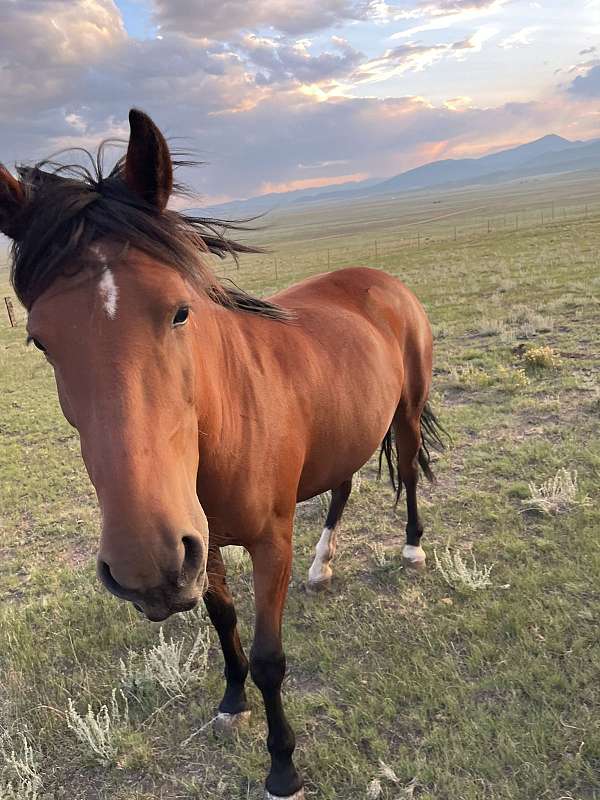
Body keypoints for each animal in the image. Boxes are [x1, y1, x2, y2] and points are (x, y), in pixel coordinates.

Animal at [0, 109, 444, 800]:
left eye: (180, 311)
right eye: (41, 341)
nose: (142, 563)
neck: (225, 424)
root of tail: (379, 280)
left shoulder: (268, 542)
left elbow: (268, 658)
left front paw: (282, 765)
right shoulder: (198, 547)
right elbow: (221, 619)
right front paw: (231, 702)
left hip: (405, 413)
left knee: (411, 474)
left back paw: (412, 547)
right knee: (342, 486)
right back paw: (323, 564)